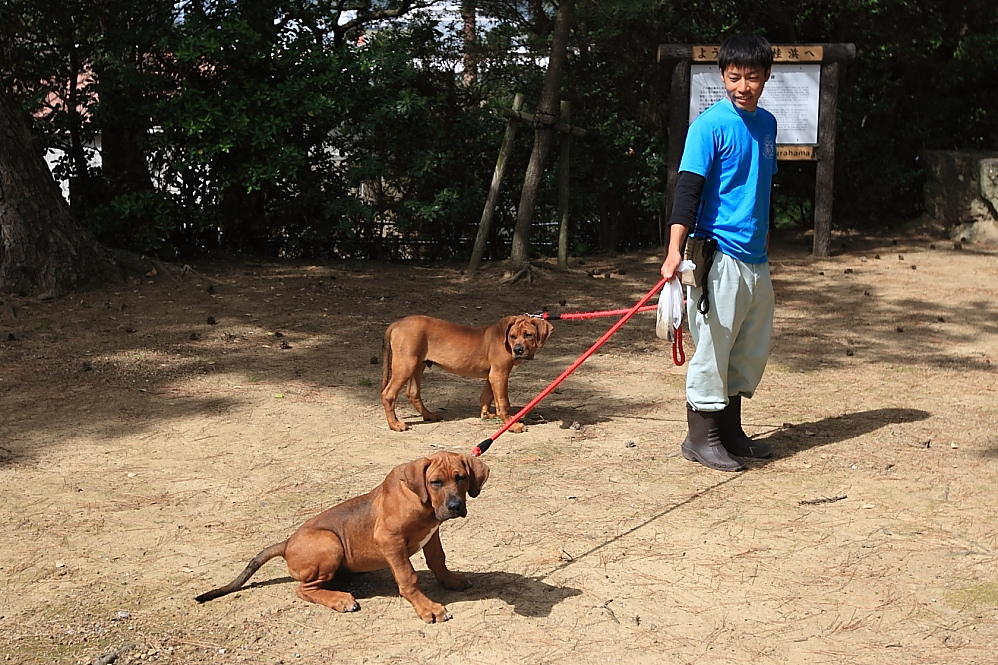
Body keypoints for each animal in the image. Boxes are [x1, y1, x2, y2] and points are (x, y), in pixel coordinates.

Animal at [194, 452, 488, 624]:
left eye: (461, 478)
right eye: (436, 482)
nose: (455, 507)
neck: (421, 500)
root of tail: (286, 544)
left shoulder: (432, 533)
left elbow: (438, 559)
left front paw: (450, 581)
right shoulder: (390, 540)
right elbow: (409, 577)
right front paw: (428, 607)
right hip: (330, 544)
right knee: (303, 589)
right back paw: (340, 599)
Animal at [380, 314, 556, 434]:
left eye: (528, 335)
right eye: (512, 336)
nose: (518, 350)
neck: (504, 339)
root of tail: (396, 324)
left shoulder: (492, 375)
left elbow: (487, 396)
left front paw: (486, 414)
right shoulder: (499, 374)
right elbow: (503, 403)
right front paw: (512, 424)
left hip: (418, 365)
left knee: (412, 393)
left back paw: (429, 415)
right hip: (405, 365)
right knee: (388, 394)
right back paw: (395, 425)